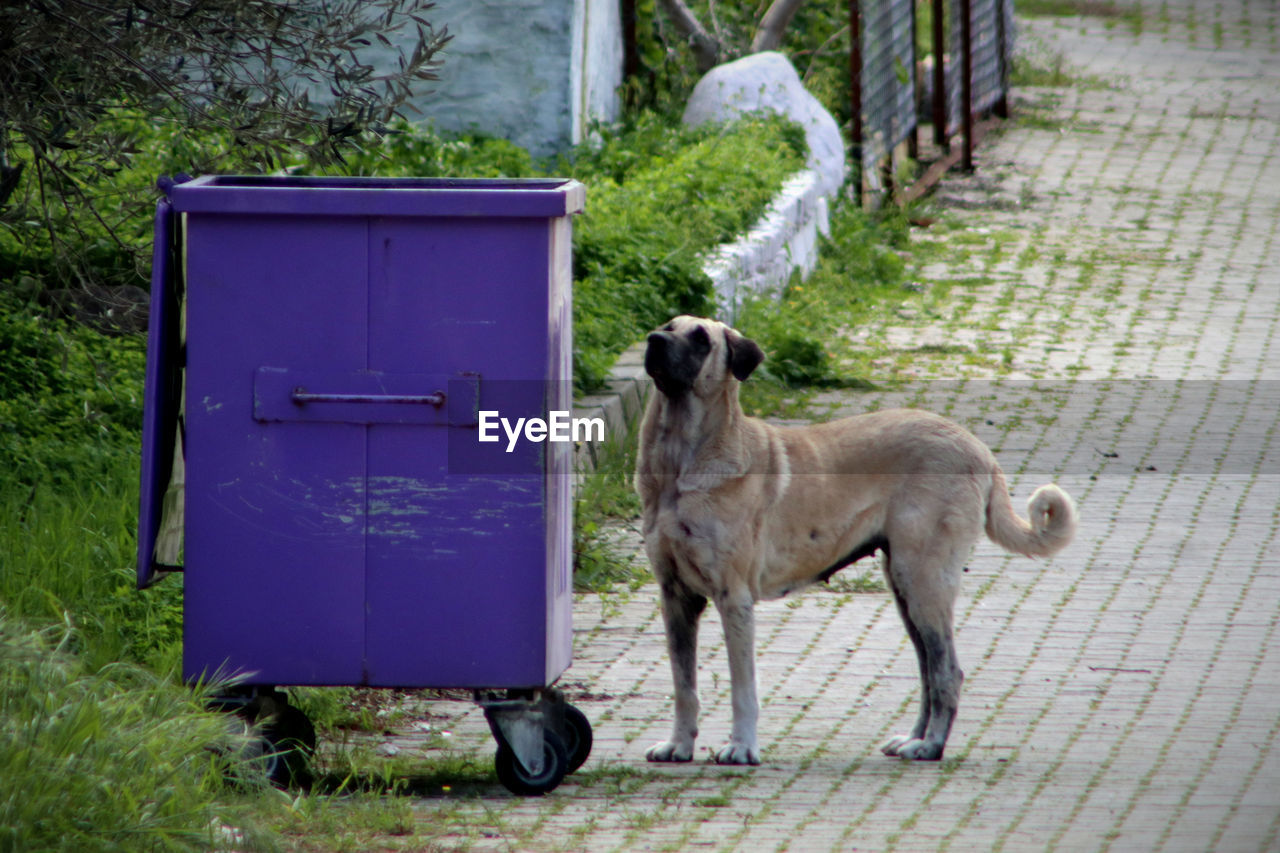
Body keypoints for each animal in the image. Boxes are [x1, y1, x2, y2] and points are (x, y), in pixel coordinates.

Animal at [634, 313, 1075, 763]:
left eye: (701, 339)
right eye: (668, 325)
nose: (653, 341)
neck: (679, 461)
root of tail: (978, 448)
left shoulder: (733, 598)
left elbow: (743, 689)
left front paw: (741, 747)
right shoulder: (676, 598)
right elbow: (683, 685)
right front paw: (679, 744)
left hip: (924, 581)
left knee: (946, 671)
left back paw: (930, 745)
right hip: (905, 587)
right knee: (927, 671)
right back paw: (913, 739)